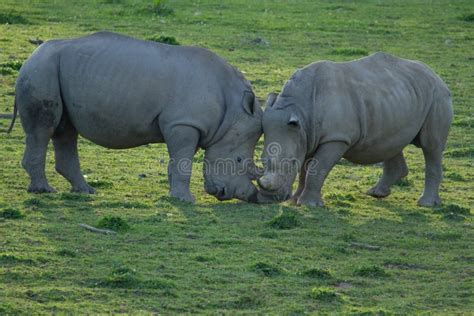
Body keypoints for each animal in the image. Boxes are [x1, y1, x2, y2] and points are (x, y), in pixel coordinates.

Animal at [9, 30, 262, 202]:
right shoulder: (183, 124)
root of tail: (32, 55)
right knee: (44, 129)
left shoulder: (180, 124)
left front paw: (175, 195)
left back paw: (85, 191)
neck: (232, 112)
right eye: (239, 160)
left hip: (53, 70)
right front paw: (186, 200)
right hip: (42, 70)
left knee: (66, 131)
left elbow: (177, 162)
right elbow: (183, 161)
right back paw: (44, 190)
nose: (247, 196)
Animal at [258, 52, 454, 207]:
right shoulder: (306, 135)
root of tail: (436, 75)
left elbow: (316, 167)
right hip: (397, 98)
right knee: (391, 142)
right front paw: (295, 201)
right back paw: (376, 193)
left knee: (431, 146)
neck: (299, 108)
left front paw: (309, 204)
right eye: (262, 161)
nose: (273, 197)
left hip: (437, 96)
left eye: (291, 162)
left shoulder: (336, 137)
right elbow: (305, 170)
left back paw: (426, 204)